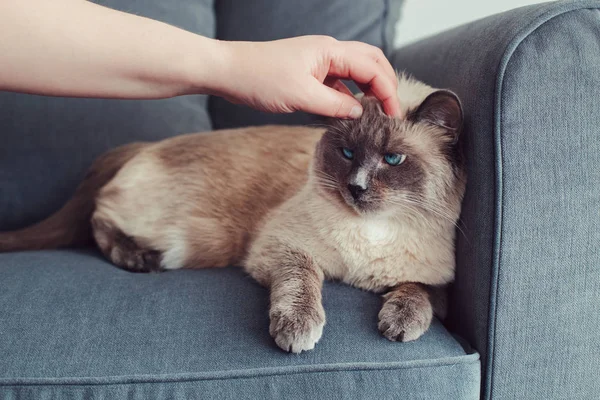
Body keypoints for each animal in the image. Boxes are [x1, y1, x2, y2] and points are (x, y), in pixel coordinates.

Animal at [0, 73, 466, 352]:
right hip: (191, 241)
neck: (372, 232)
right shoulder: (282, 247)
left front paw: (399, 326)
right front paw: (297, 332)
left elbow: (419, 292)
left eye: (393, 160)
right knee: (100, 220)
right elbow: (302, 283)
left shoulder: (438, 281)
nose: (356, 188)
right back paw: (139, 260)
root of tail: (147, 144)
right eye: (347, 153)